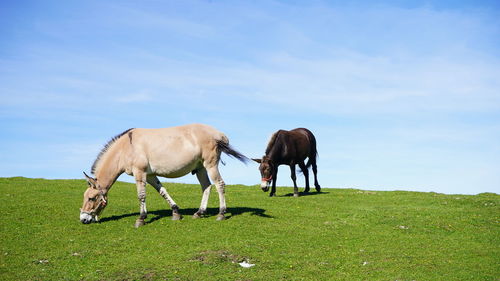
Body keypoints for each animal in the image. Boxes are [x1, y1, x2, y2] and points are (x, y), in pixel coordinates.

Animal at [79, 123, 248, 226]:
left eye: (91, 198)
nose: (83, 219)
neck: (126, 147)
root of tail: (219, 134)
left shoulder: (140, 173)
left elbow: (141, 195)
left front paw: (141, 218)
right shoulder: (150, 176)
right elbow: (162, 191)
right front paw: (176, 212)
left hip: (210, 165)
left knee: (219, 184)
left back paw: (221, 213)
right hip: (200, 168)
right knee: (206, 187)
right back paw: (199, 212)